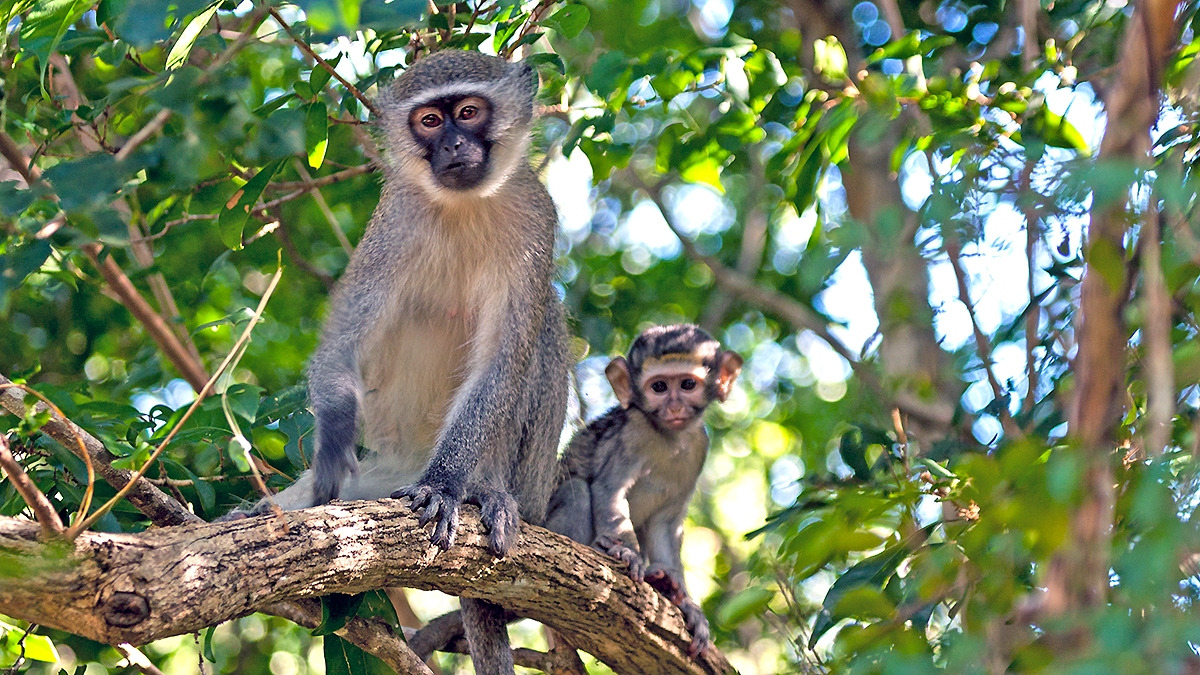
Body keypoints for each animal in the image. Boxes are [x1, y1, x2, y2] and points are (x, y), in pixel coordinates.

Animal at [221, 50, 570, 675]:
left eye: (468, 112)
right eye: (429, 121)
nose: (453, 144)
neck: (461, 207)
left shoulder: (537, 219)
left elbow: (504, 363)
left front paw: (447, 485)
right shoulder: (391, 225)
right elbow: (343, 339)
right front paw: (334, 438)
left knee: (545, 325)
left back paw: (488, 492)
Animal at [543, 323, 742, 657]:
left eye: (688, 384)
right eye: (658, 387)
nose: (674, 406)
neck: (669, 438)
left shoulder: (699, 447)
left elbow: (666, 523)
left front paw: (685, 603)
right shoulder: (633, 432)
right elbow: (609, 489)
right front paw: (626, 551)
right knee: (578, 491)